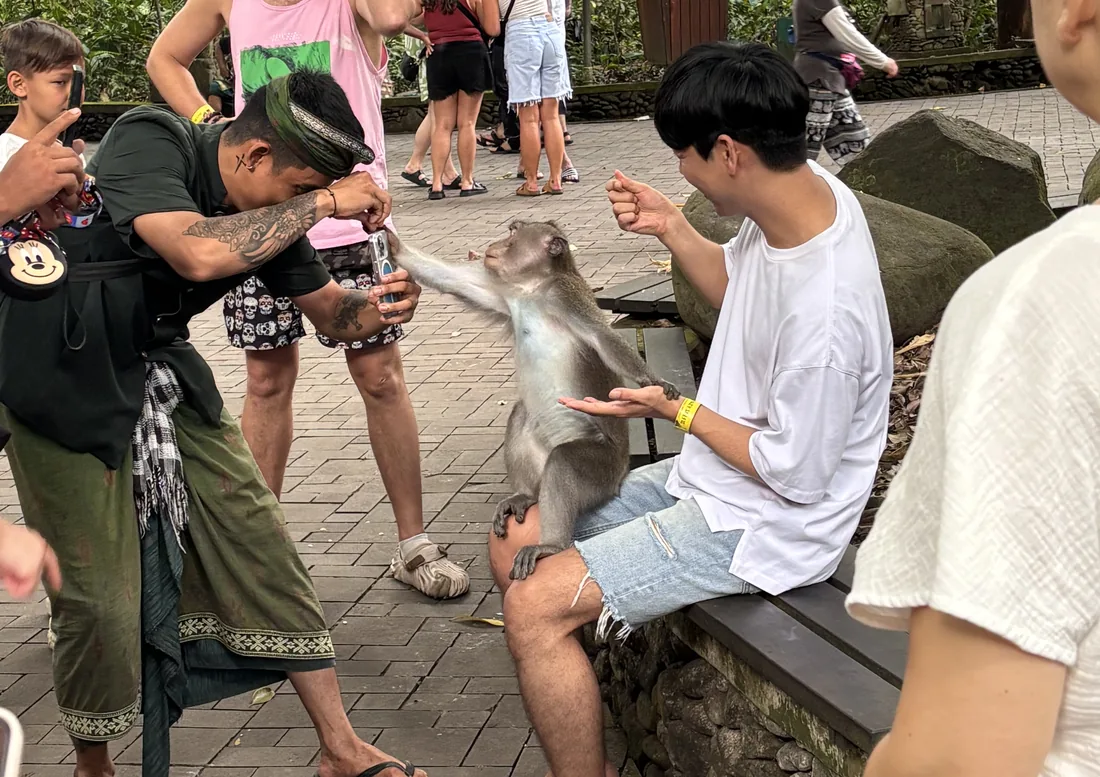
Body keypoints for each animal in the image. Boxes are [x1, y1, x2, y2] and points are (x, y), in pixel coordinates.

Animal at [386, 221, 681, 581]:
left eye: (514, 234)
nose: (496, 243)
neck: (533, 289)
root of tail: (621, 476)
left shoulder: (566, 295)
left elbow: (602, 337)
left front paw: (653, 382)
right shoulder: (506, 292)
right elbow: (454, 280)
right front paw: (391, 242)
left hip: (603, 470)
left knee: (565, 459)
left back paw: (552, 545)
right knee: (520, 416)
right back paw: (525, 495)